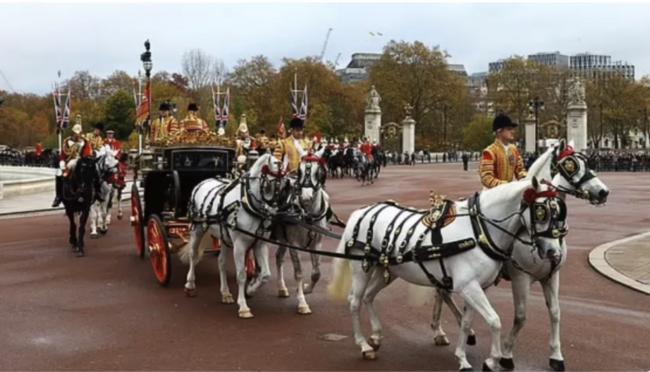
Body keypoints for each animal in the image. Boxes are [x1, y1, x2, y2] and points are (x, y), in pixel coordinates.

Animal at [177, 153, 288, 318]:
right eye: (273, 183)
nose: (274, 211)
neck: (248, 204)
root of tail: (203, 181)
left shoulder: (259, 244)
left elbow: (266, 274)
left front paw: (250, 290)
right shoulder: (240, 245)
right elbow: (241, 275)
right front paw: (243, 306)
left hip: (224, 237)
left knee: (221, 262)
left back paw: (225, 293)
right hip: (198, 229)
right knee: (193, 254)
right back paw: (190, 284)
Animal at [272, 150, 326, 316]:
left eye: (318, 171)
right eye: (300, 171)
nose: (306, 197)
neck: (308, 215)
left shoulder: (317, 243)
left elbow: (316, 272)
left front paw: (306, 289)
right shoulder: (294, 244)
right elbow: (299, 273)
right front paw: (302, 302)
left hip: (283, 238)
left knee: (278, 257)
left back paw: (282, 288)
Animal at [326, 177, 564, 372]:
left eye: (560, 214)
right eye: (541, 212)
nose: (554, 253)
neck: (479, 229)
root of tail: (360, 212)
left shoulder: (477, 287)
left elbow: (467, 322)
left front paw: (463, 358)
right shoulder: (470, 286)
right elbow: (494, 321)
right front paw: (492, 360)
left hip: (387, 270)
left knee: (368, 296)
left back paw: (376, 336)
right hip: (361, 268)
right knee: (355, 301)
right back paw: (364, 345)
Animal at [428, 140, 612, 372]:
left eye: (586, 161)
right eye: (570, 165)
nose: (603, 192)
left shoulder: (551, 276)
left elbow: (555, 313)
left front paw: (556, 356)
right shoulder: (520, 276)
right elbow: (521, 316)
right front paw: (506, 355)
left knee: (441, 292)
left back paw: (444, 332)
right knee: (443, 293)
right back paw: (454, 331)